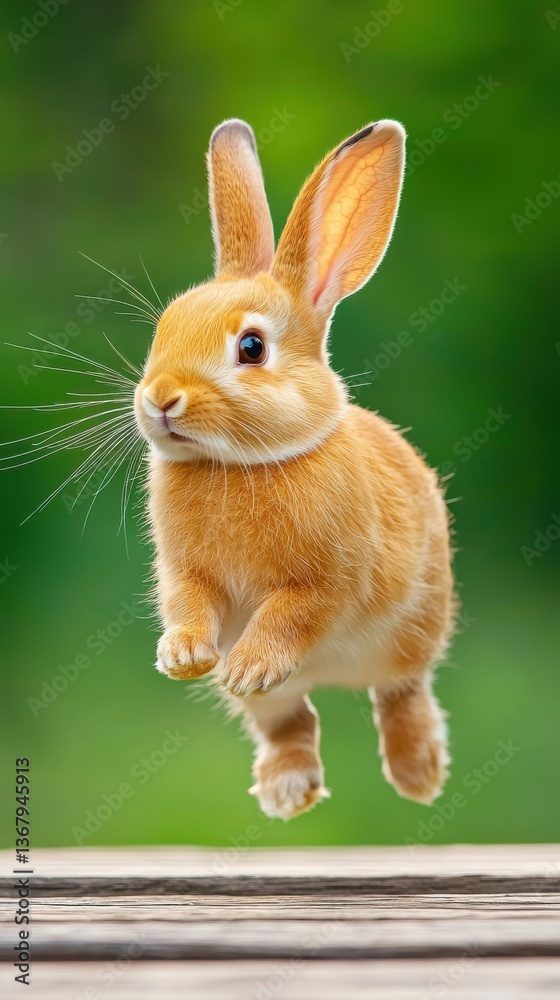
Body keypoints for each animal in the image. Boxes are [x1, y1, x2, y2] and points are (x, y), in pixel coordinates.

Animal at [133, 117, 455, 820]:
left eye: (252, 347)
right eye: (163, 329)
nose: (160, 398)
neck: (239, 463)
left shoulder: (330, 581)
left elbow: (291, 614)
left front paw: (248, 665)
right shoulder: (186, 572)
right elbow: (189, 601)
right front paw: (186, 657)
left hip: (412, 631)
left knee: (400, 694)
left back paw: (418, 775)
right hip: (289, 704)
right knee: (289, 721)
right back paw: (288, 793)